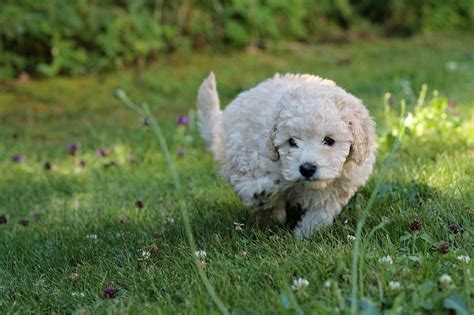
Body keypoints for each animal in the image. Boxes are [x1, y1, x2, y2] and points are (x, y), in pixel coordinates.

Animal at [196, 73, 374, 238]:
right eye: (291, 141)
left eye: (329, 140)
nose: (307, 169)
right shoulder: (250, 159)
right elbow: (250, 187)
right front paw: (261, 194)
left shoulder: (339, 187)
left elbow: (320, 213)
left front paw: (305, 234)